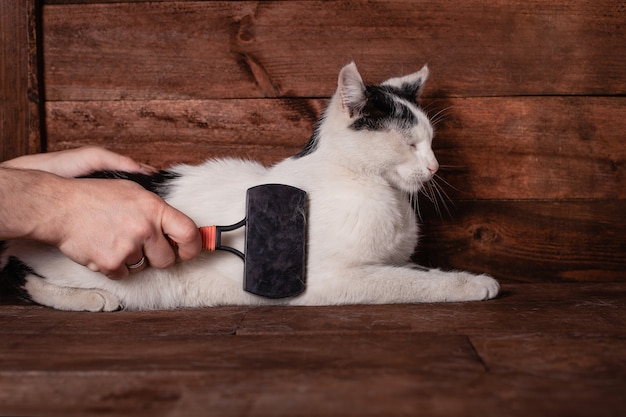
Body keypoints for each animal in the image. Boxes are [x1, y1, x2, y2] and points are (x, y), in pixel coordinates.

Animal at [0, 61, 498, 308]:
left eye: (431, 142)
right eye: (412, 144)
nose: (434, 167)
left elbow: (413, 269)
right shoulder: (333, 279)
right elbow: (406, 282)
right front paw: (472, 284)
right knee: (19, 277)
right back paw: (92, 299)